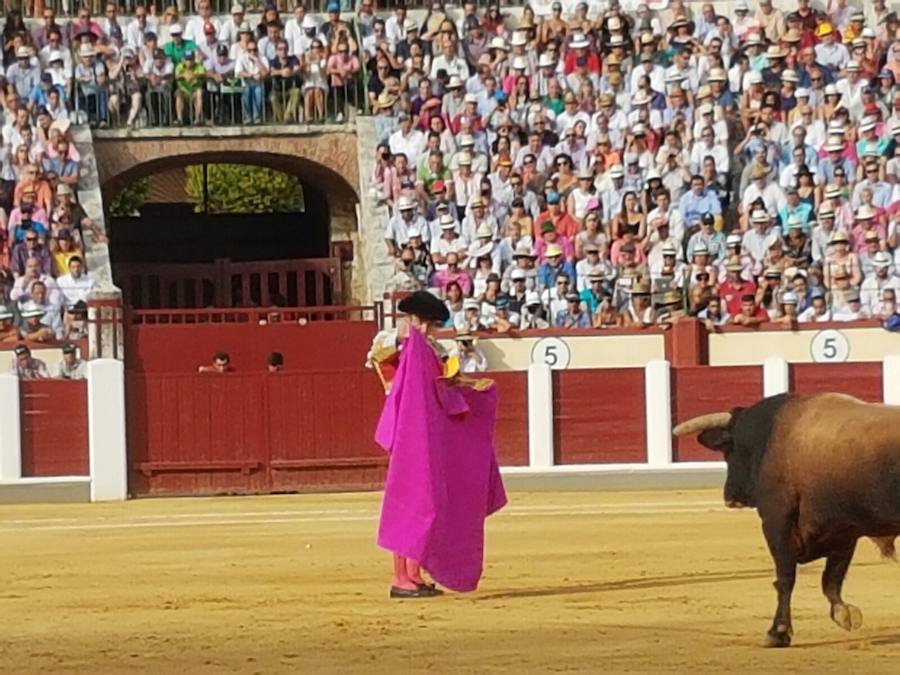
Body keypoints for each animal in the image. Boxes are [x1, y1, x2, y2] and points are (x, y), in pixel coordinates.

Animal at [676, 394, 900, 648]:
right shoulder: (844, 532)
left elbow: (785, 578)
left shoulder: (777, 523)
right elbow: (831, 580)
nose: (730, 496)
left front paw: (778, 632)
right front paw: (843, 614)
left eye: (729, 452)